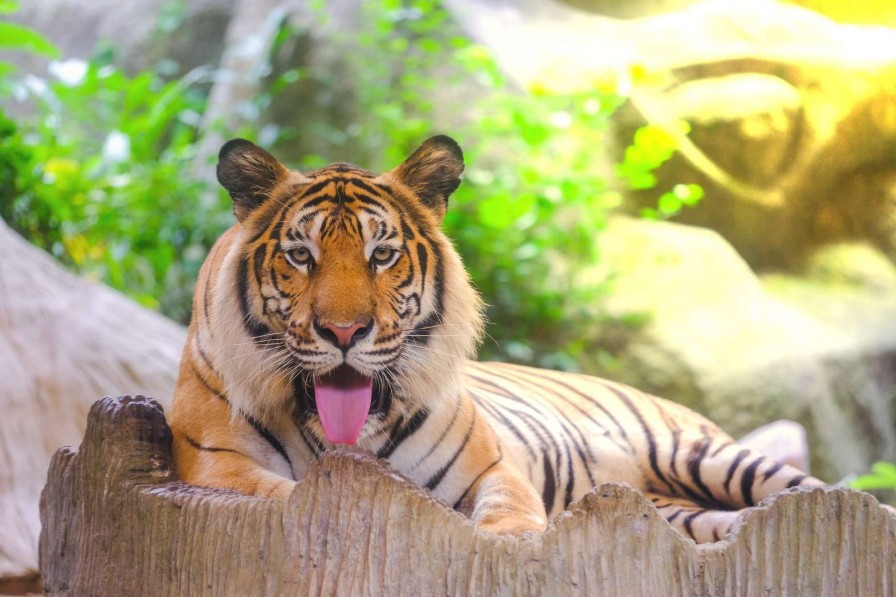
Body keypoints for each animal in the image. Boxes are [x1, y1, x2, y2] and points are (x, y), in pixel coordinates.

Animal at [164, 134, 824, 540]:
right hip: (679, 507)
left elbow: (511, 509)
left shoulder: (493, 465)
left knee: (820, 495)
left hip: (701, 453)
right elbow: (287, 495)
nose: (345, 331)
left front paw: (514, 541)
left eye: (382, 255)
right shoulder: (216, 468)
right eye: (301, 255)